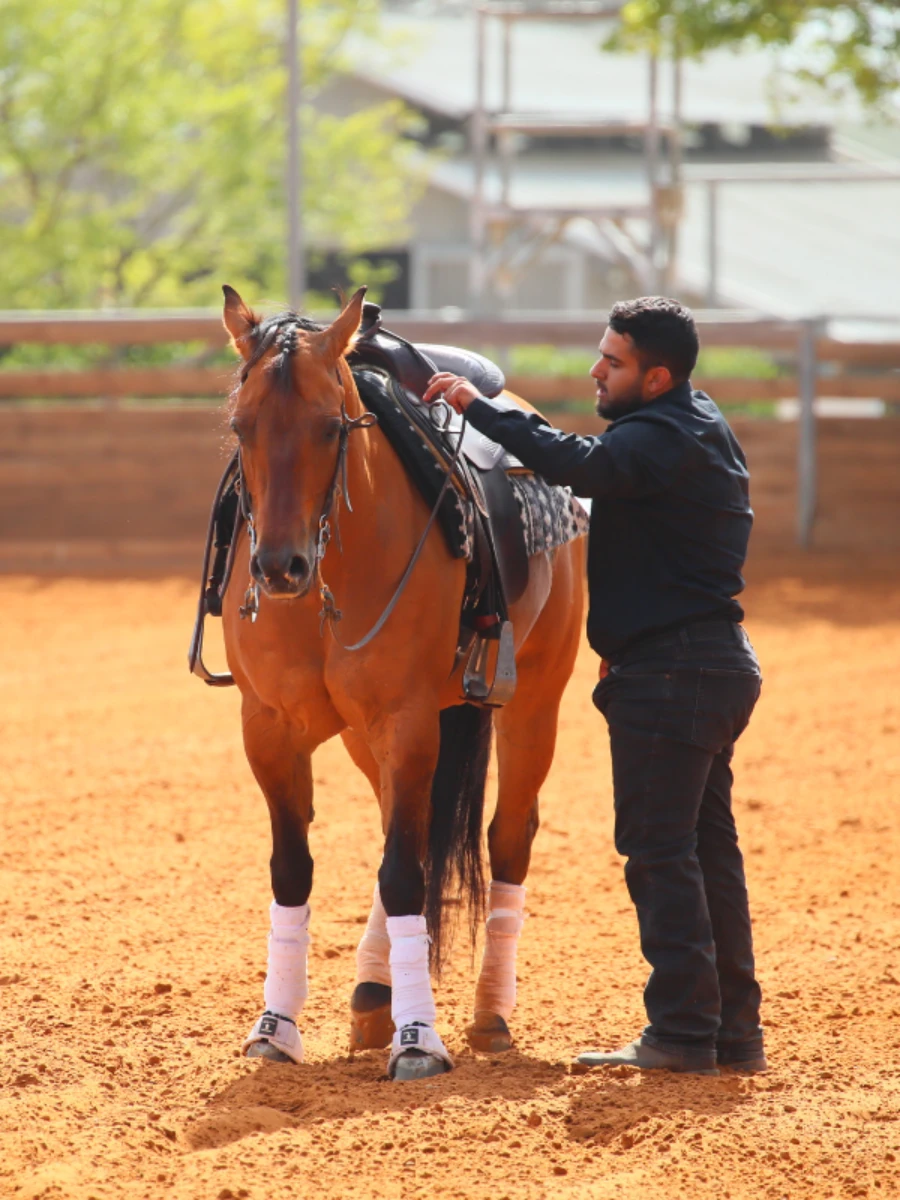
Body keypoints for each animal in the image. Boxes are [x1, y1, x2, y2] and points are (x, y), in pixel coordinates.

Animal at [218, 285, 585, 1084]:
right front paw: (276, 1026)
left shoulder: (408, 722)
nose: (279, 567)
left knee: (508, 836)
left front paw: (419, 1040)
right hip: (370, 736)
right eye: (240, 424)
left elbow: (404, 874)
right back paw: (372, 994)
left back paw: (488, 1013)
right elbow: (295, 870)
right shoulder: (268, 728)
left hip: (534, 701)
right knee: (403, 830)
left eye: (330, 428)